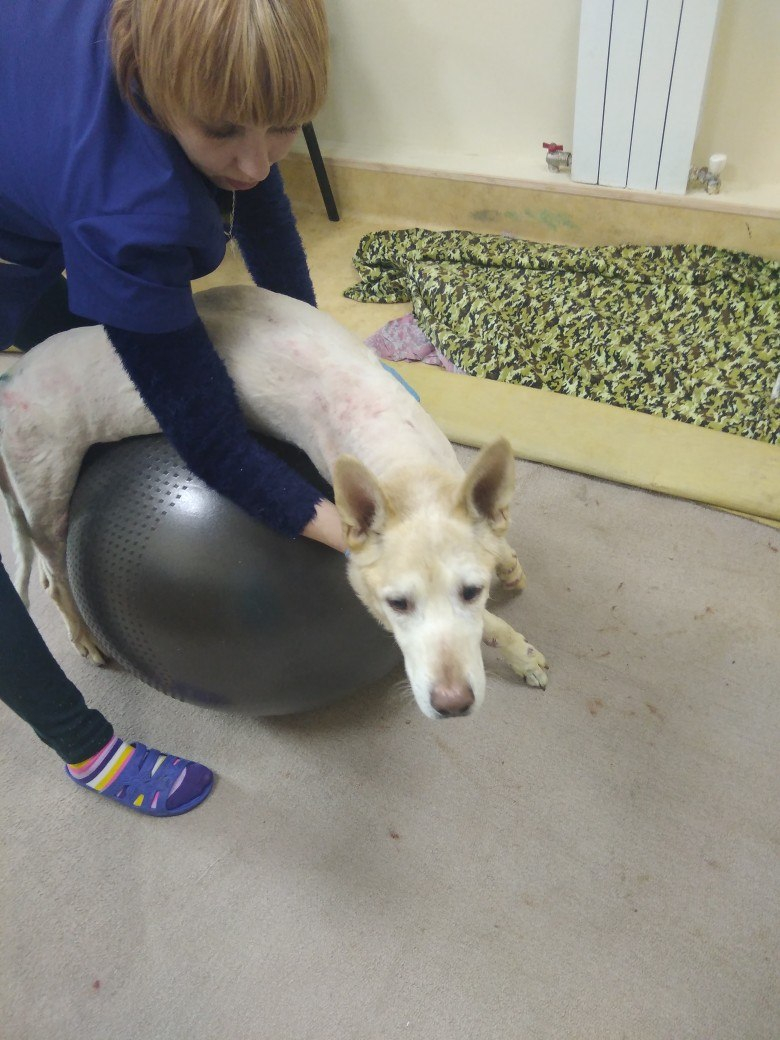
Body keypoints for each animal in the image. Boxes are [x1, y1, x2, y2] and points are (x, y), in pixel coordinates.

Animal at [0, 284, 548, 719]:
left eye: (471, 590)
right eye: (396, 604)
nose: (451, 704)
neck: (403, 465)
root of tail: (11, 378)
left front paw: (507, 563)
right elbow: (490, 626)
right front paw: (521, 654)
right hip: (47, 485)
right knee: (55, 578)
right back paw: (84, 637)